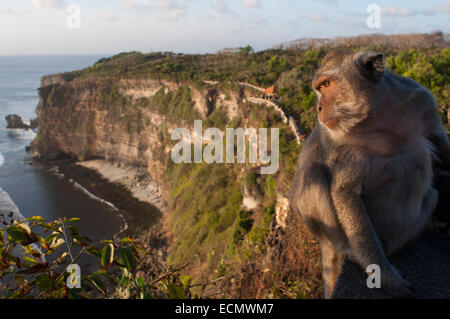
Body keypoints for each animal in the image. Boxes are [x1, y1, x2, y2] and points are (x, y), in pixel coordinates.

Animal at [288, 50, 450, 300]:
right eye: (319, 88)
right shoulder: (342, 144)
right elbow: (344, 192)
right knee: (314, 173)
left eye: (327, 84)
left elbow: (440, 141)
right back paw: (351, 252)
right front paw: (384, 276)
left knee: (432, 195)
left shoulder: (421, 100)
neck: (377, 116)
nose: (319, 107)